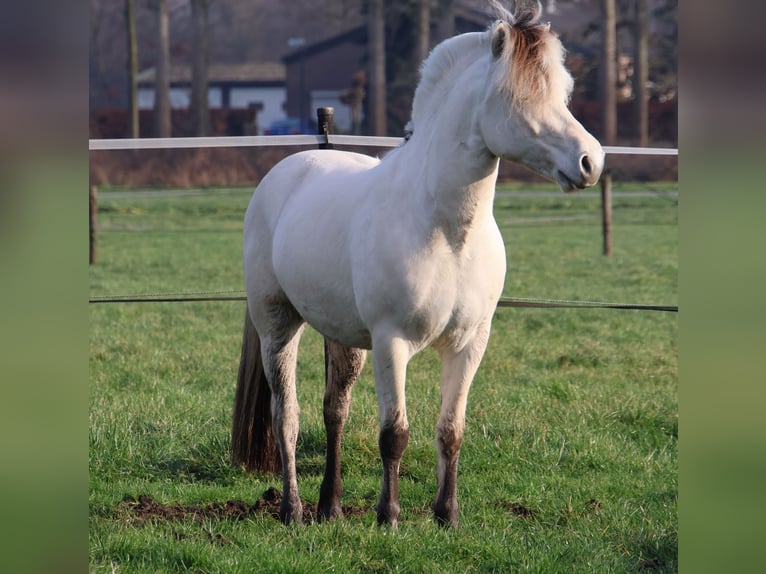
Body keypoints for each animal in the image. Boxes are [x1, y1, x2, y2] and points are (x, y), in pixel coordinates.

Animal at [231, 0, 604, 528]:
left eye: (564, 92)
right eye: (518, 96)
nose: (591, 162)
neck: (448, 233)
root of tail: (282, 174)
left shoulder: (470, 344)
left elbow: (451, 429)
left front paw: (447, 515)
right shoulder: (392, 343)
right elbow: (395, 433)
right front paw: (388, 517)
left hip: (344, 336)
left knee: (334, 410)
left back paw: (332, 507)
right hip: (277, 325)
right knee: (288, 416)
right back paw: (293, 509)